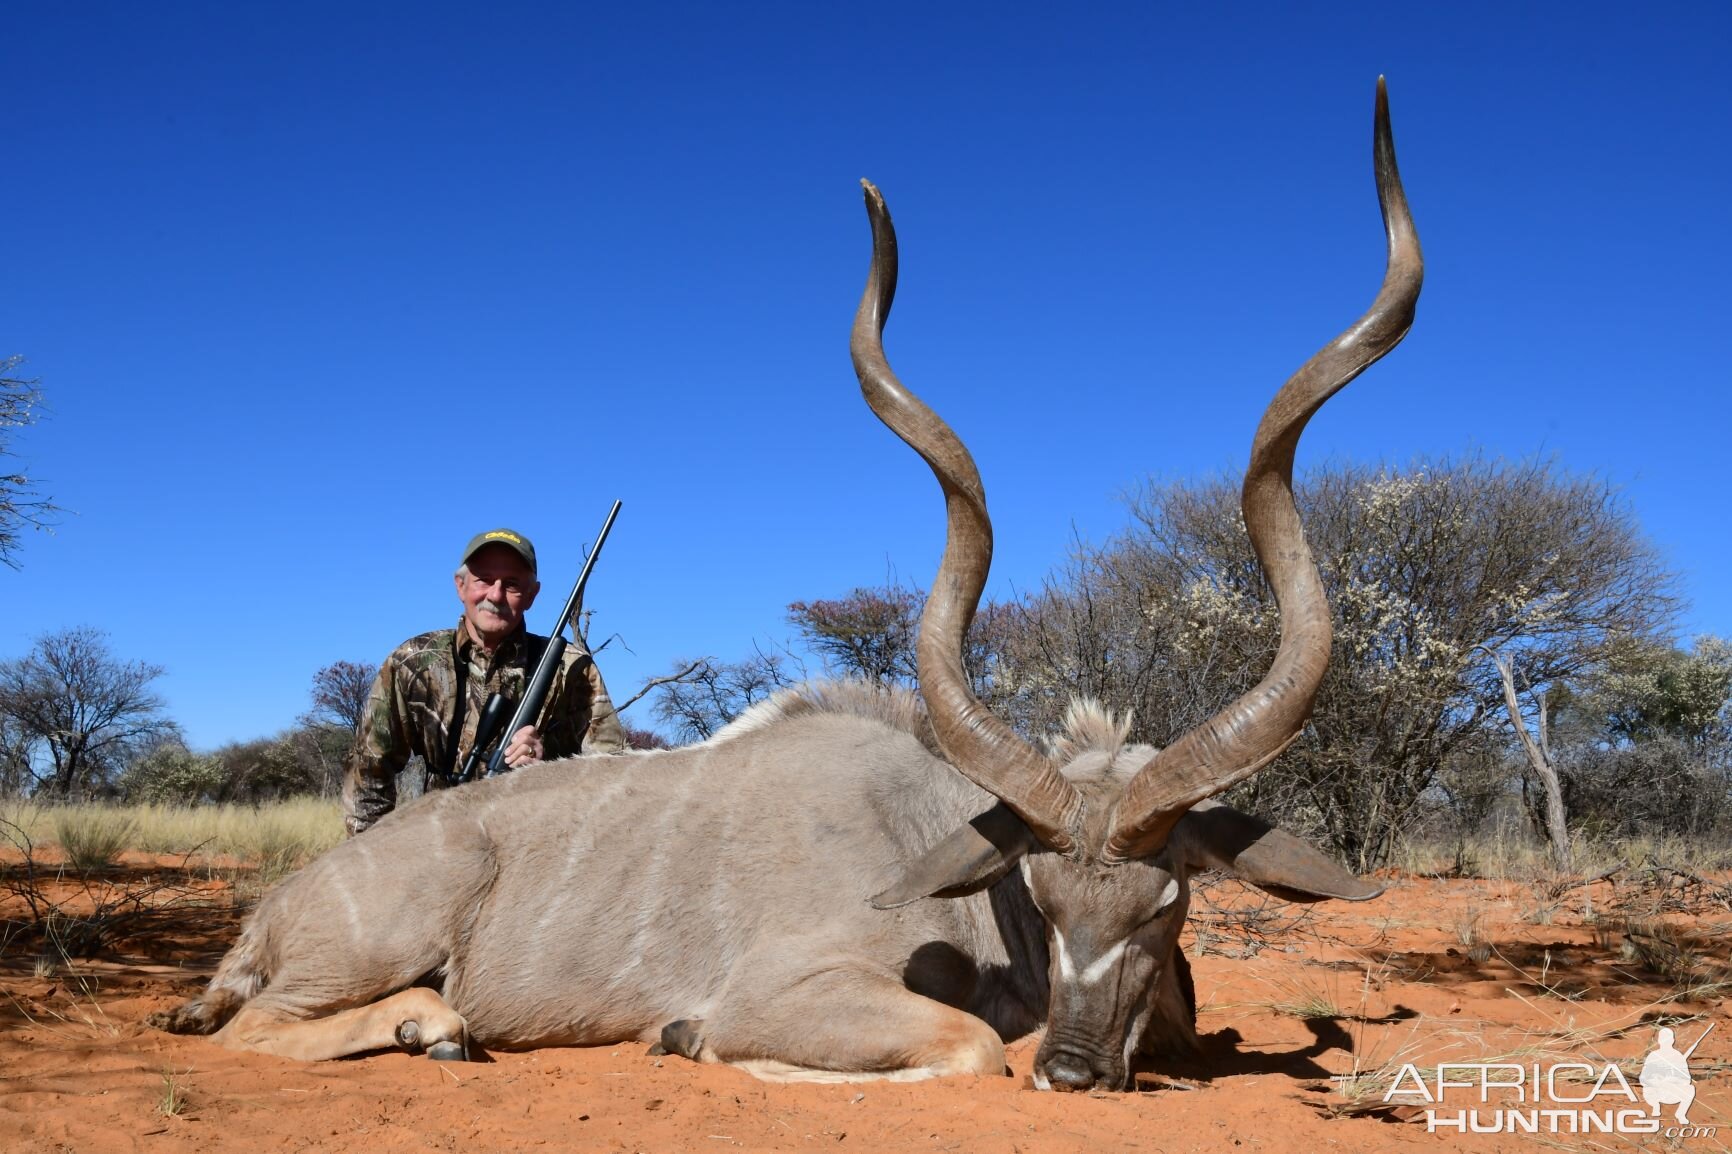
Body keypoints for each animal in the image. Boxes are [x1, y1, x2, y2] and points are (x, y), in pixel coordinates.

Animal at [152, 81, 1420, 1088]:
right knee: (261, 1024)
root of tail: (274, 910)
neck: (940, 850)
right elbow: (963, 1044)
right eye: (1045, 893)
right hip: (366, 947)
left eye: (1165, 902)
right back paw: (435, 1024)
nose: (1070, 1069)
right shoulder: (795, 989)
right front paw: (685, 1037)